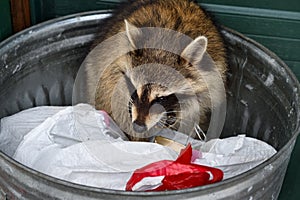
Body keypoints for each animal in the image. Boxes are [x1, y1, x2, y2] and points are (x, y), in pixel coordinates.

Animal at [83, 0, 226, 141]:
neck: (165, 43)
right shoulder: (112, 63)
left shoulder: (211, 78)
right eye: (135, 89)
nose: (138, 126)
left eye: (161, 98)